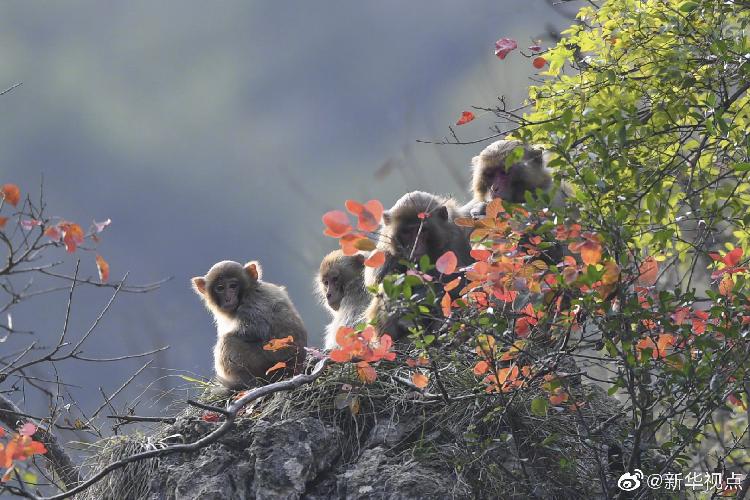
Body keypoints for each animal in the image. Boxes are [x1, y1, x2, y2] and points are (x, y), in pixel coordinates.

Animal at [194, 260, 312, 388]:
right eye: (220, 288)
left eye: (233, 286)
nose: (228, 298)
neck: (248, 291)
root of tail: (295, 369)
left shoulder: (253, 304)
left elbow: (253, 331)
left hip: (269, 369)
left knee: (228, 340)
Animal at [362, 191, 470, 340]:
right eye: (406, 232)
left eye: (422, 230)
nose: (415, 246)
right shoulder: (387, 246)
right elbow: (375, 279)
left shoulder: (456, 239)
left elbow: (460, 283)